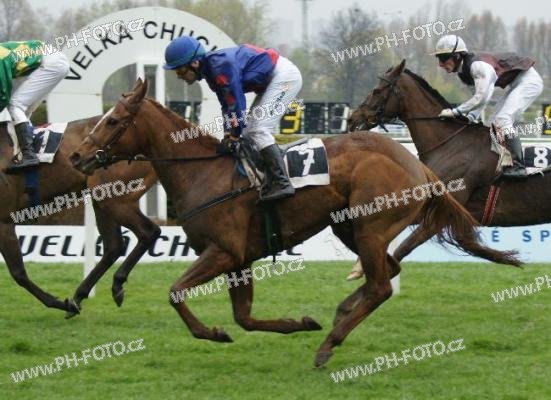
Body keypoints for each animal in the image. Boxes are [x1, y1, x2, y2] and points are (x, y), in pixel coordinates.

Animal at [0, 116, 160, 317]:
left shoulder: (4, 220)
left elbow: (18, 273)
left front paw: (59, 303)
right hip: (102, 198)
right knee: (114, 246)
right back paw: (80, 295)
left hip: (115, 200)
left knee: (149, 232)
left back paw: (115, 284)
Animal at [69, 78, 520, 367]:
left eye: (112, 121)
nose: (76, 156)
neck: (203, 172)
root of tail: (417, 164)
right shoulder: (239, 261)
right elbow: (244, 317)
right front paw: (296, 323)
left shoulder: (223, 253)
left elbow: (176, 293)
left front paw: (212, 332)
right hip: (347, 225)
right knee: (388, 271)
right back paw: (339, 314)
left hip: (370, 225)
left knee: (380, 286)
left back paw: (329, 344)